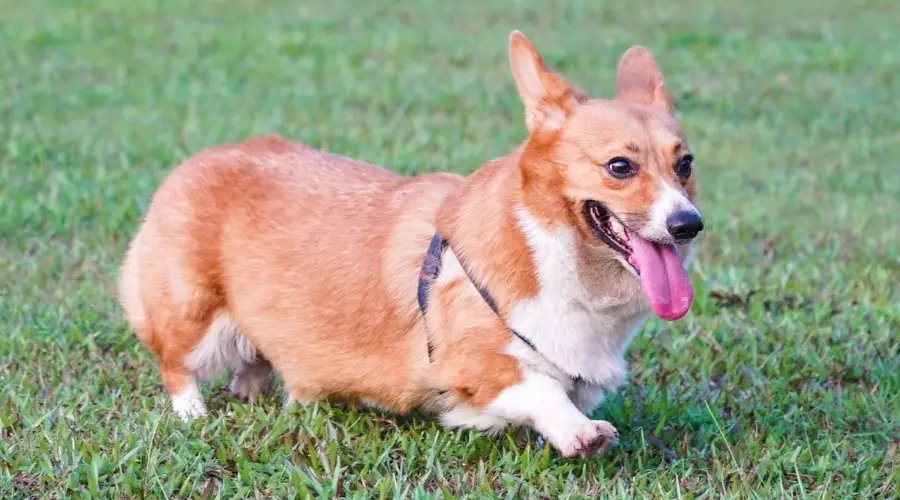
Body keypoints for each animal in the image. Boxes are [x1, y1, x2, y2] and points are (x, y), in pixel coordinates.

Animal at [118, 31, 704, 458]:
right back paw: (193, 414)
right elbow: (541, 388)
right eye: (620, 167)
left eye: (685, 164)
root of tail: (194, 162)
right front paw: (579, 431)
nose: (688, 225)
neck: (550, 249)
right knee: (176, 363)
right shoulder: (472, 362)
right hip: (193, 315)